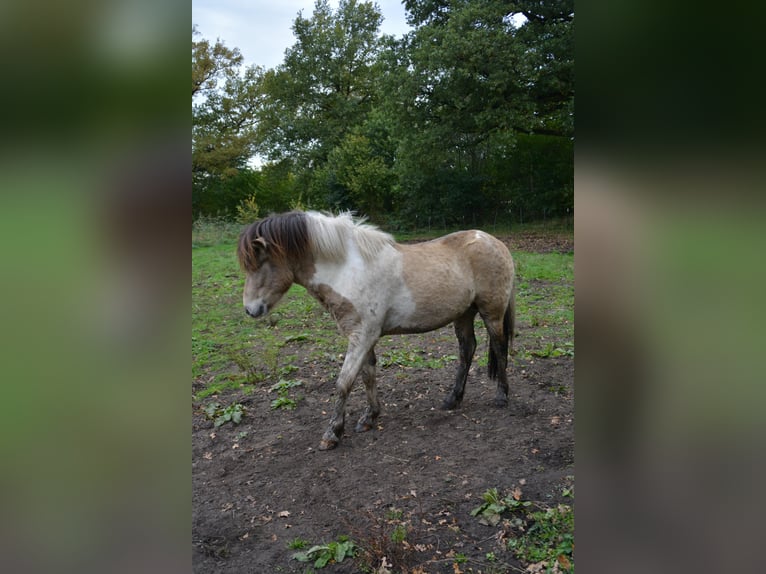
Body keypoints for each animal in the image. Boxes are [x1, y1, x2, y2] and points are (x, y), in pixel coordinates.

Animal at [237, 211, 516, 450]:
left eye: (260, 262)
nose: (250, 310)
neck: (348, 270)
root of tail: (495, 242)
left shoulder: (362, 337)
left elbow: (344, 382)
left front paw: (332, 433)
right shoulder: (364, 337)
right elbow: (367, 375)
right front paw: (370, 417)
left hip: (491, 312)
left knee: (500, 347)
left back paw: (502, 396)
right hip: (464, 314)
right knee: (467, 350)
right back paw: (452, 399)